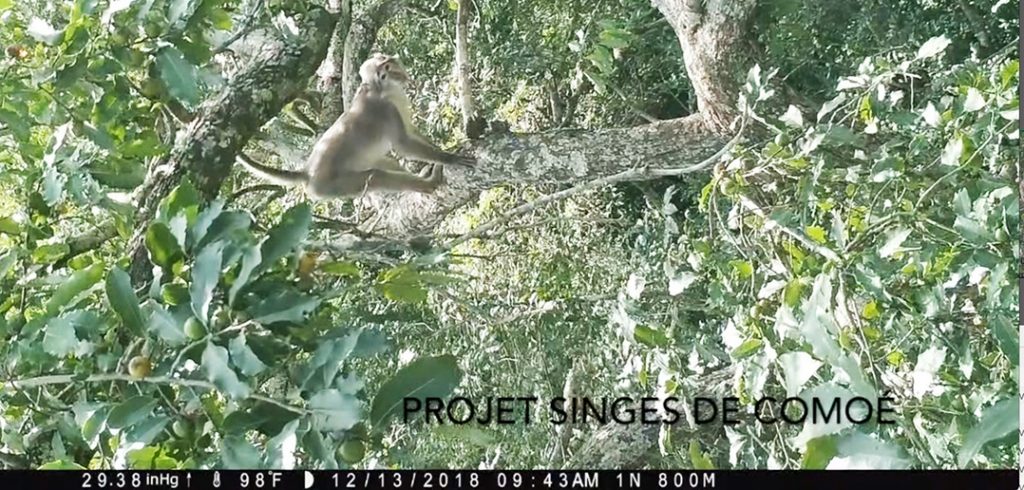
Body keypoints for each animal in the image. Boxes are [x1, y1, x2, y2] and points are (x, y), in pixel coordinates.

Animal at [237, 52, 473, 198]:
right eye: (385, 70)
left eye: (389, 65)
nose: (395, 72)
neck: (381, 89)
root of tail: (308, 171)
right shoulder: (385, 110)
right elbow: (403, 144)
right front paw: (449, 157)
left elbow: (411, 130)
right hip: (331, 185)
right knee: (377, 176)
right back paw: (429, 184)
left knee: (385, 164)